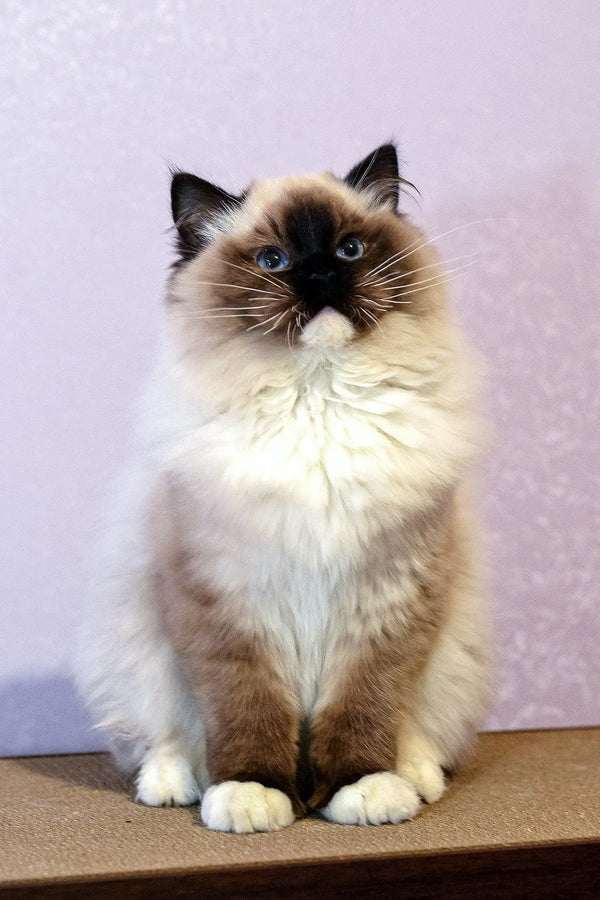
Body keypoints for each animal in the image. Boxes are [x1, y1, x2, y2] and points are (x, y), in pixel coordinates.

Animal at [75, 144, 490, 832]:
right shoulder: (230, 601)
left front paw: (361, 787)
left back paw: (414, 776)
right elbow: (247, 712)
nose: (320, 275)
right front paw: (253, 794)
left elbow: (364, 708)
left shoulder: (385, 599)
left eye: (349, 249)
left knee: (415, 729)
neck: (318, 398)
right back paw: (173, 785)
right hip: (134, 650)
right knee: (167, 737)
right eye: (273, 261)